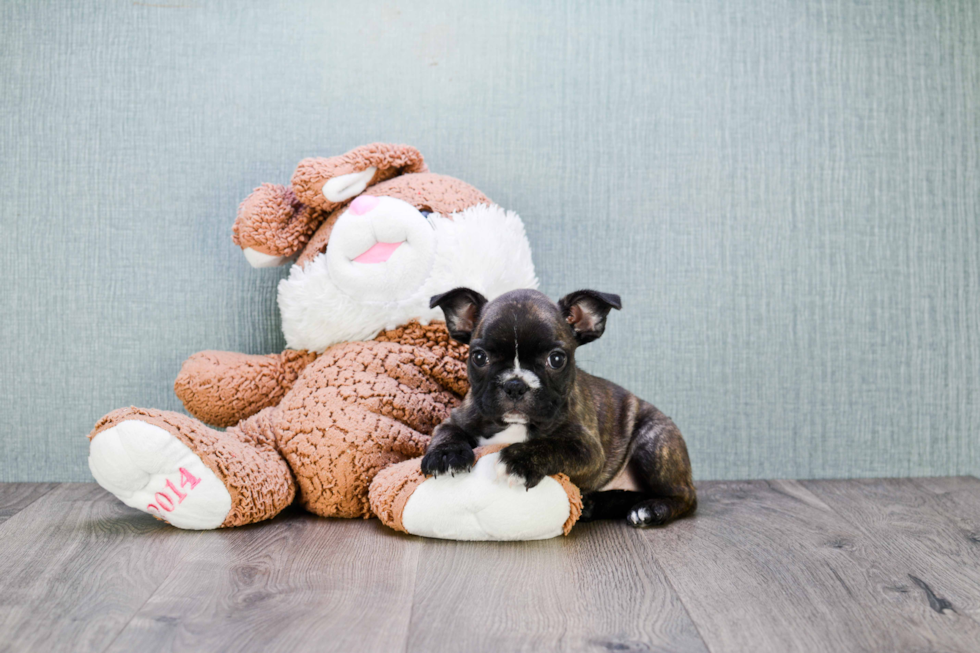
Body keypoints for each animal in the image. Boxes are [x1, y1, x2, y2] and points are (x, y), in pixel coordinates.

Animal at [422, 288, 696, 528]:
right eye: (479, 357)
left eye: (556, 359)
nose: (515, 385)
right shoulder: (457, 418)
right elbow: (448, 432)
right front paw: (445, 455)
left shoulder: (588, 450)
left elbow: (552, 446)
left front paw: (520, 459)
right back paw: (595, 505)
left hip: (653, 444)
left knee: (687, 496)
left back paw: (650, 510)